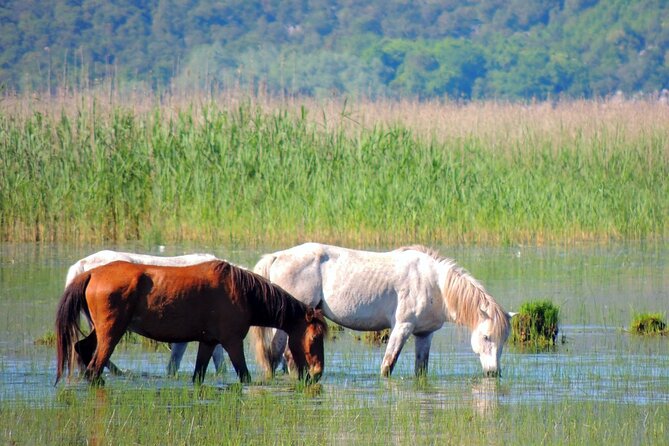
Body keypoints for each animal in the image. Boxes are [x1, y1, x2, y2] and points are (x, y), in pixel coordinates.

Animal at [250, 244, 512, 376]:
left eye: (504, 340)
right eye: (486, 337)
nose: (493, 372)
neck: (435, 283)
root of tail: (277, 256)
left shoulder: (424, 334)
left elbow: (421, 370)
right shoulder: (402, 328)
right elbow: (387, 366)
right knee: (279, 355)